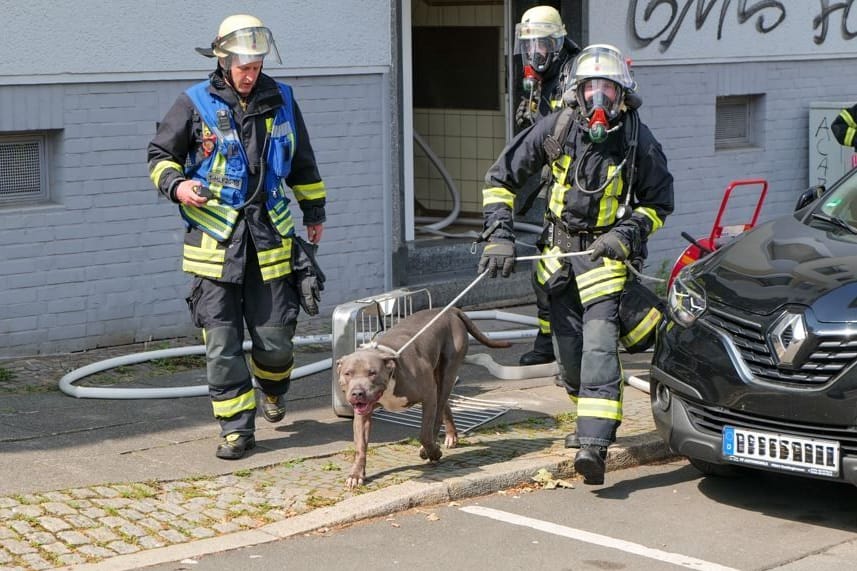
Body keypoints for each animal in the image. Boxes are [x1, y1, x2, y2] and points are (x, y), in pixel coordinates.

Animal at [332, 306, 508, 490]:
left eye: (372, 373)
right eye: (348, 373)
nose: (357, 393)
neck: (391, 373)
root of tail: (449, 310)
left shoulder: (428, 396)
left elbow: (424, 433)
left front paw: (433, 452)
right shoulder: (363, 414)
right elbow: (360, 446)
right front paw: (356, 474)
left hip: (447, 371)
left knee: (437, 416)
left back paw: (432, 447)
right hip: (437, 377)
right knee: (443, 405)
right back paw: (450, 436)